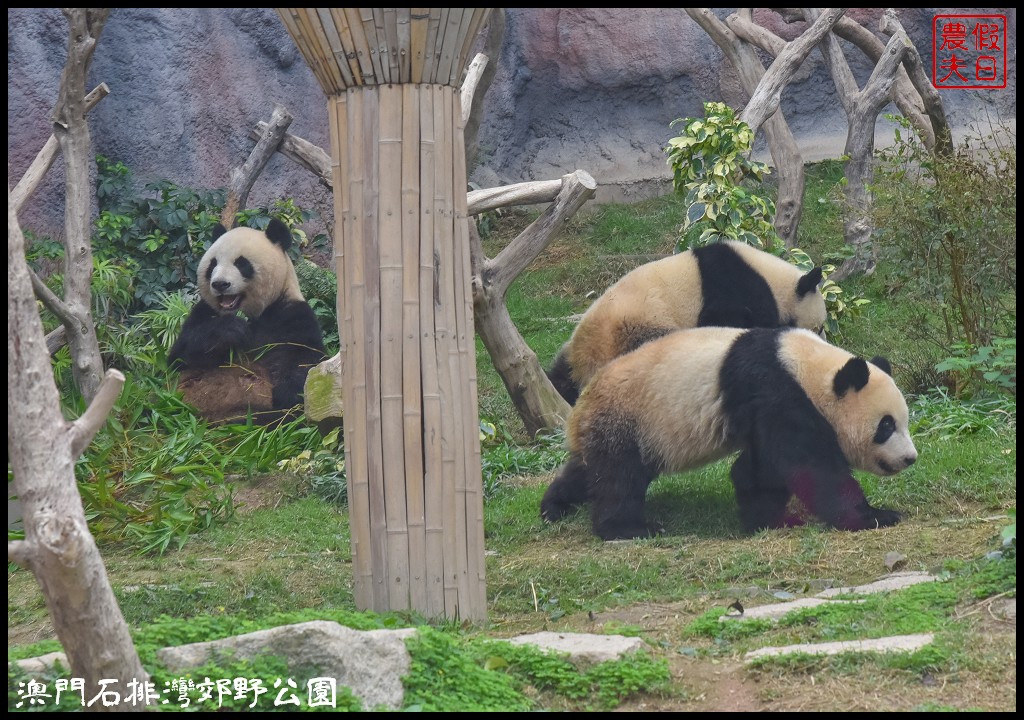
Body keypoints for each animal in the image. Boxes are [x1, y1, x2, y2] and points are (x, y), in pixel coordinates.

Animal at [168, 217, 327, 426]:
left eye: (241, 263)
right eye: (212, 264)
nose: (220, 284)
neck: (254, 313)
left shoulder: (291, 314)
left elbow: (304, 360)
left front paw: (287, 395)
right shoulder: (204, 312)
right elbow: (179, 357)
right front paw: (233, 330)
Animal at [540, 327, 917, 540]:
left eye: (905, 421)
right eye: (886, 426)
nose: (910, 458)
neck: (805, 365)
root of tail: (578, 409)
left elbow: (760, 469)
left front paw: (766, 518)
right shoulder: (774, 389)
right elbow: (812, 467)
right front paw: (875, 515)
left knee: (591, 470)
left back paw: (555, 506)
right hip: (627, 417)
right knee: (619, 478)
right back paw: (629, 529)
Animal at [548, 241, 827, 405]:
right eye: (821, 327)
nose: (823, 341)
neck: (774, 282)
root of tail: (585, 363)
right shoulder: (731, 287)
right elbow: (724, 322)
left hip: (574, 348)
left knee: (561, 374)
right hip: (637, 327)